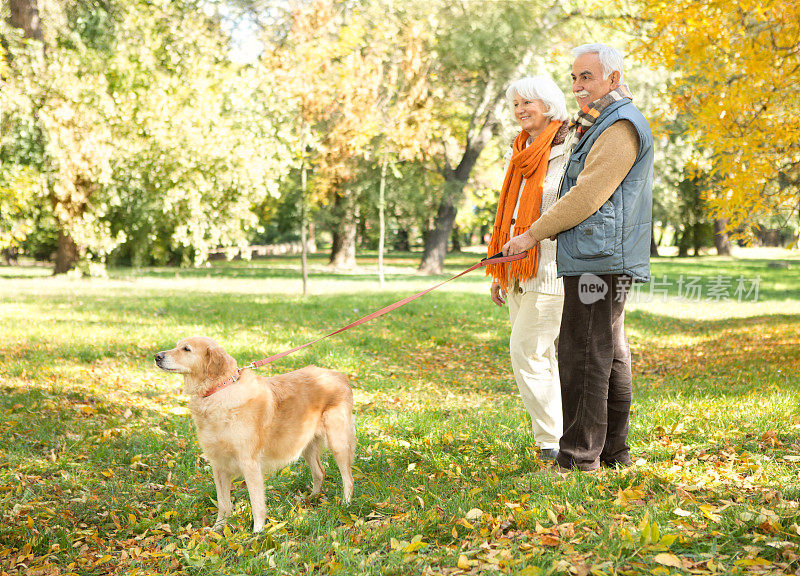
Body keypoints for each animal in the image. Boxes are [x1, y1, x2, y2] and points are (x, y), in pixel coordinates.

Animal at [155, 338, 354, 532]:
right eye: (177, 346)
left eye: (186, 349)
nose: (157, 356)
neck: (218, 391)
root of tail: (339, 375)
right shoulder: (218, 465)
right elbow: (223, 504)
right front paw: (218, 528)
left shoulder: (249, 463)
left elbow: (256, 503)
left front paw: (257, 532)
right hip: (306, 444)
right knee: (320, 472)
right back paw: (310, 499)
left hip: (338, 443)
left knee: (348, 479)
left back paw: (345, 505)